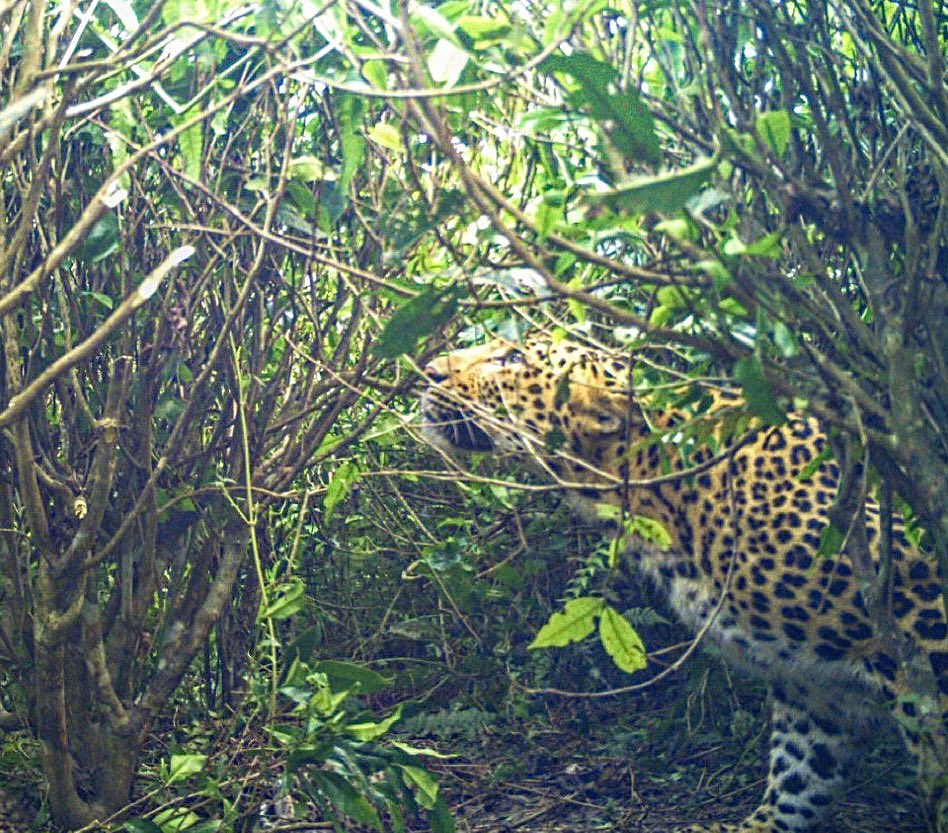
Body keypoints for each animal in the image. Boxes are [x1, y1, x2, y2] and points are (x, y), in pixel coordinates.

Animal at [420, 334, 948, 832]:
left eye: (511, 359)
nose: (427, 371)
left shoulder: (919, 619)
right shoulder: (814, 682)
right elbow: (802, 769)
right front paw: (759, 825)